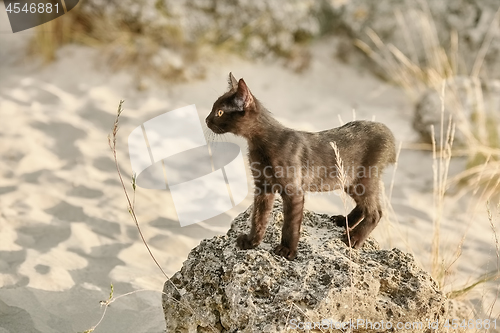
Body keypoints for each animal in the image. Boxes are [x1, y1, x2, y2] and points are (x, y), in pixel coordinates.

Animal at [205, 72, 396, 260]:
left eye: (220, 112)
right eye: (213, 109)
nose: (207, 120)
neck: (259, 144)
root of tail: (386, 130)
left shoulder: (293, 191)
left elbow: (290, 224)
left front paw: (287, 250)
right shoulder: (263, 187)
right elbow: (258, 217)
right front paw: (252, 242)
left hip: (363, 179)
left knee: (376, 212)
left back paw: (354, 238)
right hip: (349, 181)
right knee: (365, 206)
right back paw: (344, 221)